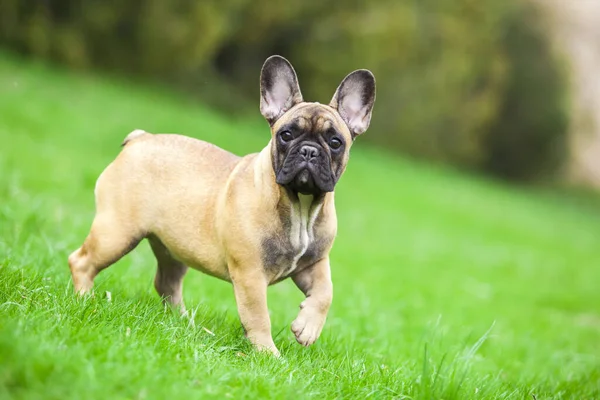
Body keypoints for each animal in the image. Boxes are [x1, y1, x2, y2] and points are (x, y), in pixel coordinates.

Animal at [69, 54, 376, 354]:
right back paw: (86, 299)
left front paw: (307, 327)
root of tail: (140, 139)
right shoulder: (250, 275)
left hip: (172, 247)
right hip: (117, 233)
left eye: (335, 142)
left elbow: (325, 292)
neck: (299, 206)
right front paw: (268, 354)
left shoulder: (315, 263)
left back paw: (184, 322)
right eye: (286, 135)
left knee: (167, 283)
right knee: (82, 261)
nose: (309, 151)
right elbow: (259, 316)